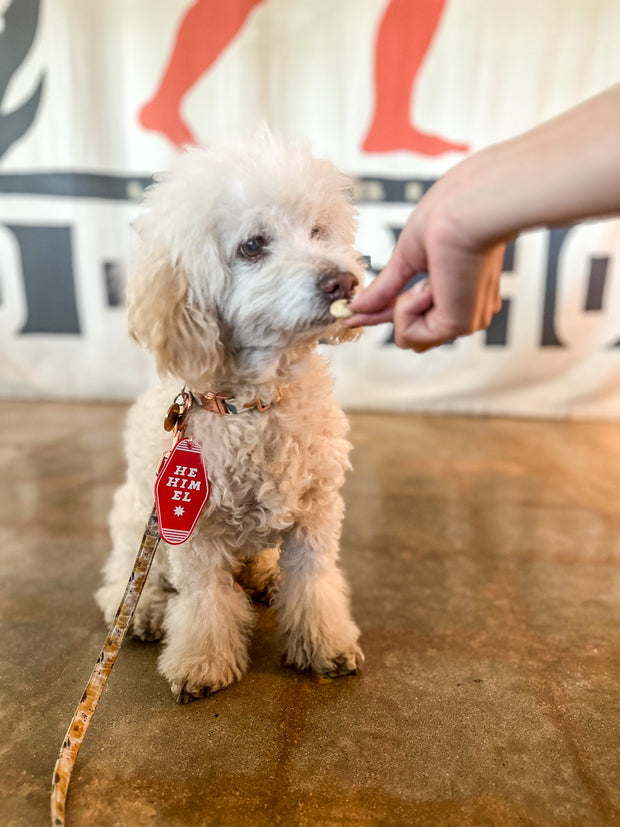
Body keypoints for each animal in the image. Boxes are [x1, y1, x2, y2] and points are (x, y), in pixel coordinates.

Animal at [95, 133, 366, 700]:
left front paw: (324, 645)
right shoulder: (191, 532)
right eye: (253, 246)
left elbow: (315, 583)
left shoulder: (316, 513)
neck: (255, 407)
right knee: (126, 583)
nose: (343, 281)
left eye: (318, 231)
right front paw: (202, 662)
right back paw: (144, 612)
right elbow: (203, 600)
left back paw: (264, 576)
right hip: (136, 521)